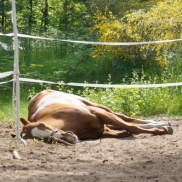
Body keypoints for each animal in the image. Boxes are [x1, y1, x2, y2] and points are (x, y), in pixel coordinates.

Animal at [18, 89, 173, 144]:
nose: (69, 137)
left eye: (42, 125)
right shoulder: (100, 129)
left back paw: (162, 123)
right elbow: (125, 129)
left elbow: (132, 127)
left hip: (99, 107)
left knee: (126, 118)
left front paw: (161, 129)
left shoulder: (99, 113)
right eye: (40, 139)